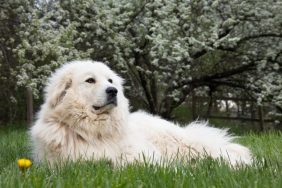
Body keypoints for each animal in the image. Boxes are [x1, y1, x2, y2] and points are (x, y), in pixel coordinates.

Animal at [30, 59, 253, 166]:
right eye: (90, 80)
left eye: (110, 80)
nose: (113, 91)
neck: (95, 132)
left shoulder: (142, 156)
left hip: (186, 145)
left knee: (224, 155)